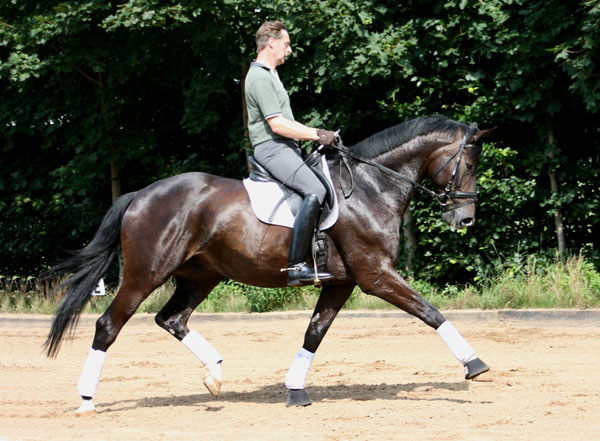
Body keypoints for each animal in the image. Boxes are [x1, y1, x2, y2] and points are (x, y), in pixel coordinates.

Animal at [44, 114, 494, 412]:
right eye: (471, 164)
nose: (465, 220)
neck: (371, 187)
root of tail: (141, 194)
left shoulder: (341, 282)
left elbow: (314, 333)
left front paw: (295, 389)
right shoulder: (375, 275)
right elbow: (430, 311)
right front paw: (475, 364)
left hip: (200, 275)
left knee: (171, 319)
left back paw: (215, 374)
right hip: (146, 273)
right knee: (109, 325)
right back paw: (87, 398)